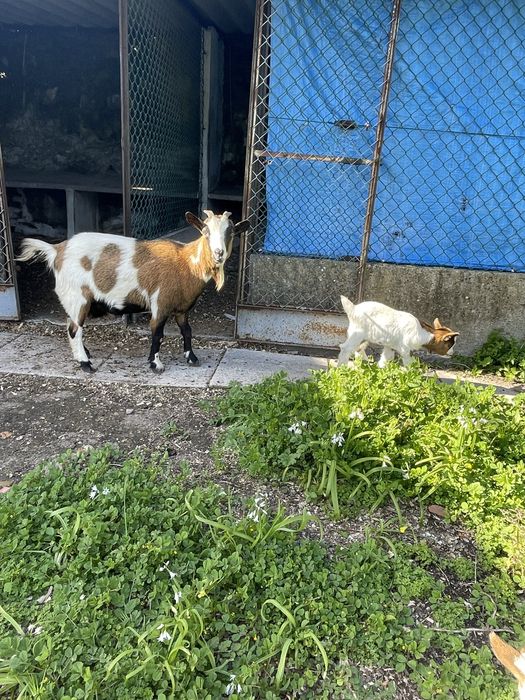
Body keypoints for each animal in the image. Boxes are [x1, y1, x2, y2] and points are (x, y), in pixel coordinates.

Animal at [17, 210, 249, 373]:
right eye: (206, 231)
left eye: (230, 231)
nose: (219, 253)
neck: (187, 262)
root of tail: (57, 250)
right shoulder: (160, 303)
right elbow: (157, 334)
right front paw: (156, 364)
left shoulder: (182, 307)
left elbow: (187, 331)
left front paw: (191, 358)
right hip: (78, 296)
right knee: (75, 329)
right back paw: (86, 364)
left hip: (74, 299)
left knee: (70, 325)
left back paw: (82, 354)